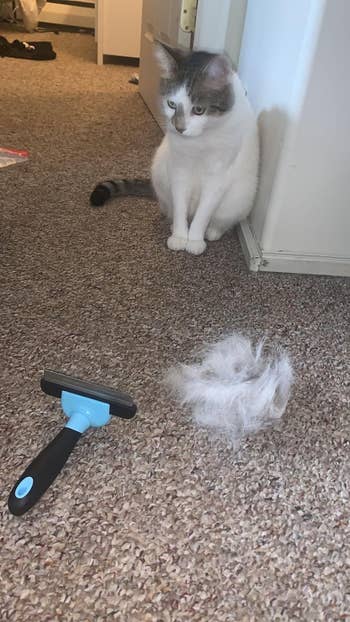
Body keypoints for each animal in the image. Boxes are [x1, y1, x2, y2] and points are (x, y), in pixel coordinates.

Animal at [90, 42, 260, 256]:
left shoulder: (218, 177)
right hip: (161, 175)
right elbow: (180, 205)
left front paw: (194, 239)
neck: (199, 141)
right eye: (171, 104)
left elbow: (204, 212)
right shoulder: (178, 168)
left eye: (199, 110)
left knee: (222, 219)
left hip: (239, 198)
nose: (179, 128)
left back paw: (213, 231)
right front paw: (179, 236)